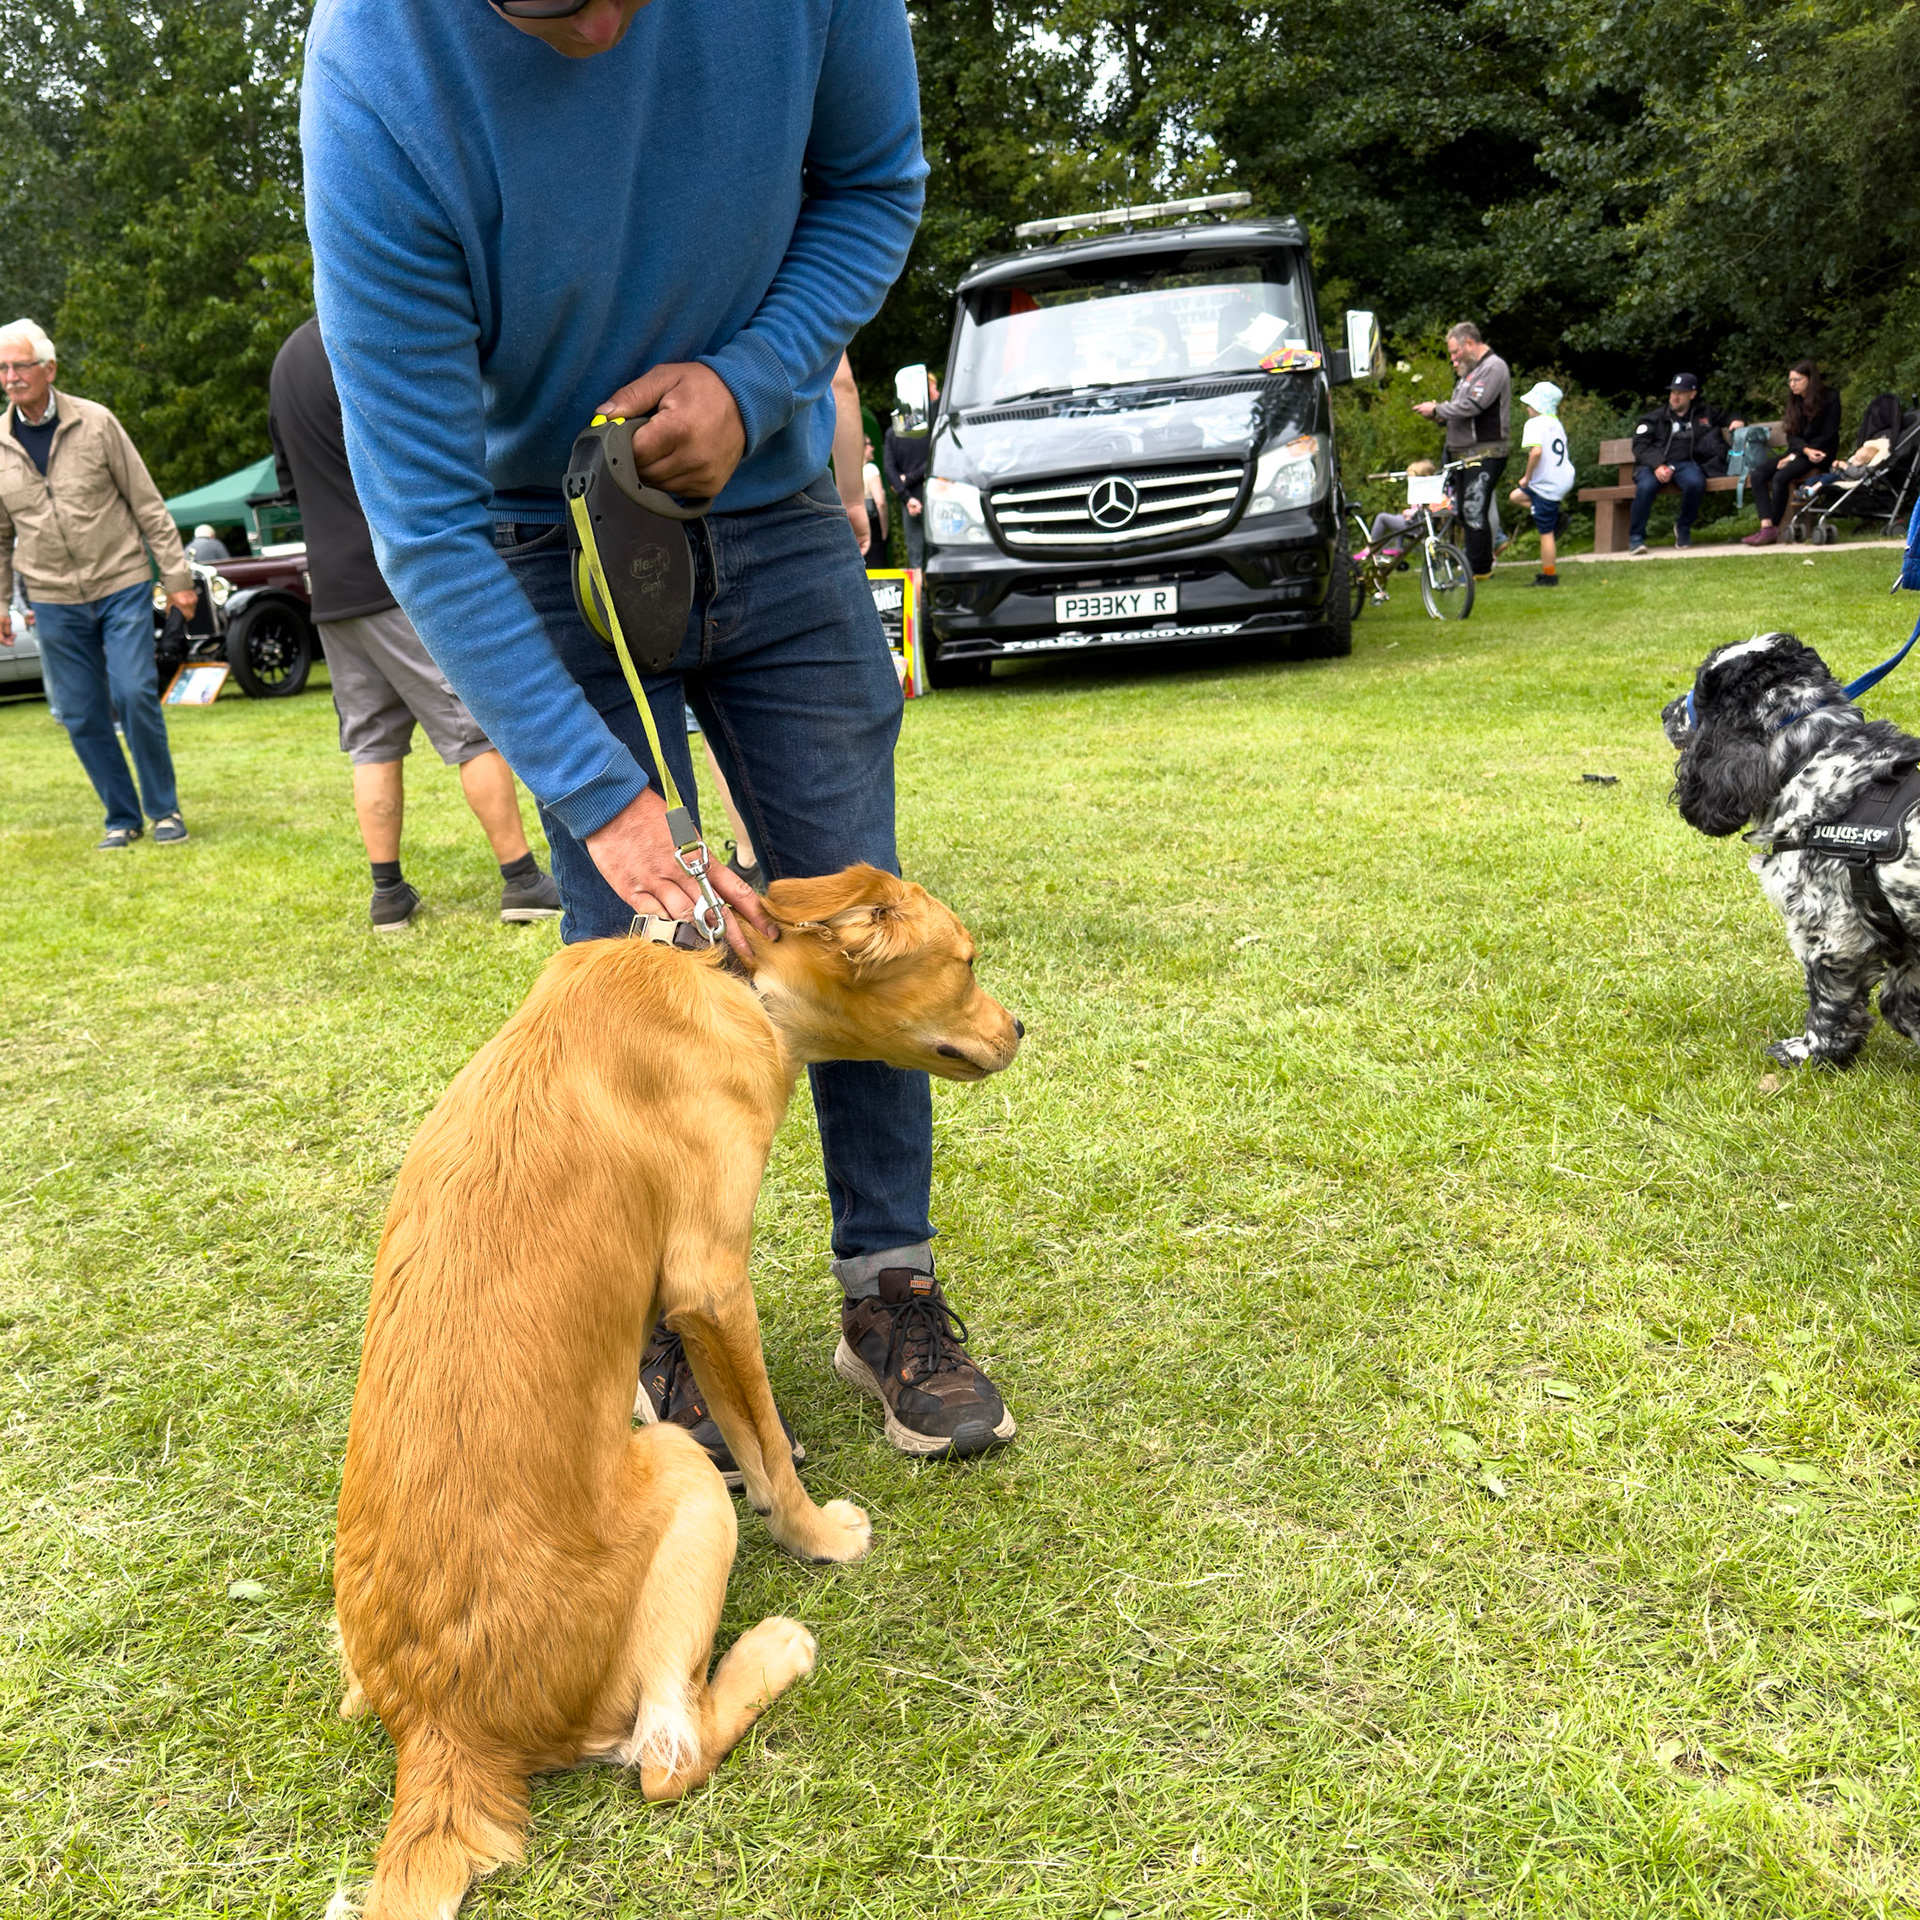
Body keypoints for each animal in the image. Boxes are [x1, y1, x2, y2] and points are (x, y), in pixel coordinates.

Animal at [333, 865, 1022, 1919]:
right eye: (967, 961)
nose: (1021, 1026)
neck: (725, 974)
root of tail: (444, 1732)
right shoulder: (710, 1279)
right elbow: (767, 1445)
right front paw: (818, 1536)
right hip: (682, 1482)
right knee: (669, 1755)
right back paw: (771, 1651)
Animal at [1664, 631, 1920, 1065]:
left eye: (1699, 690)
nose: (1665, 712)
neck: (1812, 758)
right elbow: (1901, 999)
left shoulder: (1831, 931)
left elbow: (1830, 1001)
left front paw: (1810, 1051)